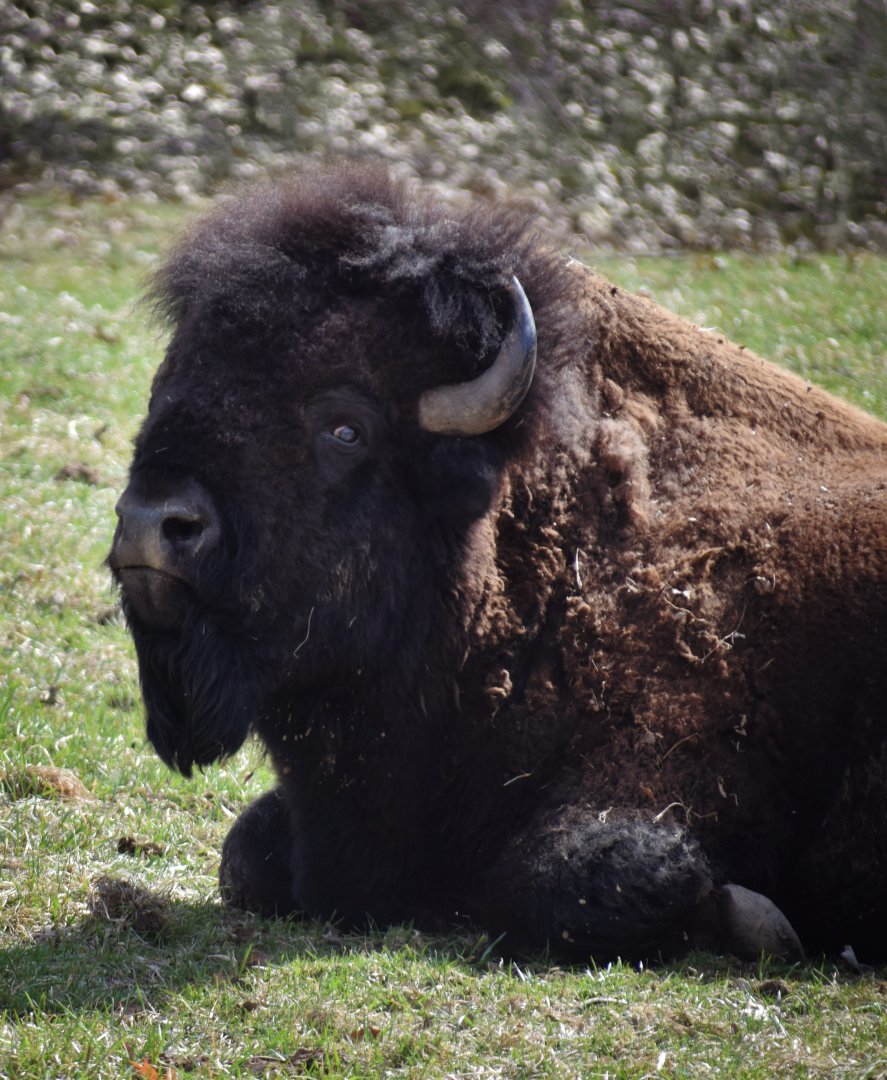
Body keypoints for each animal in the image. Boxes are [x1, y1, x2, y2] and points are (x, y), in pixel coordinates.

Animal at [109, 163, 887, 962]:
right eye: (165, 390)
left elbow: (578, 882)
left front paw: (755, 919)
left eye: (345, 427)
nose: (150, 525)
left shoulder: (665, 759)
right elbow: (244, 855)